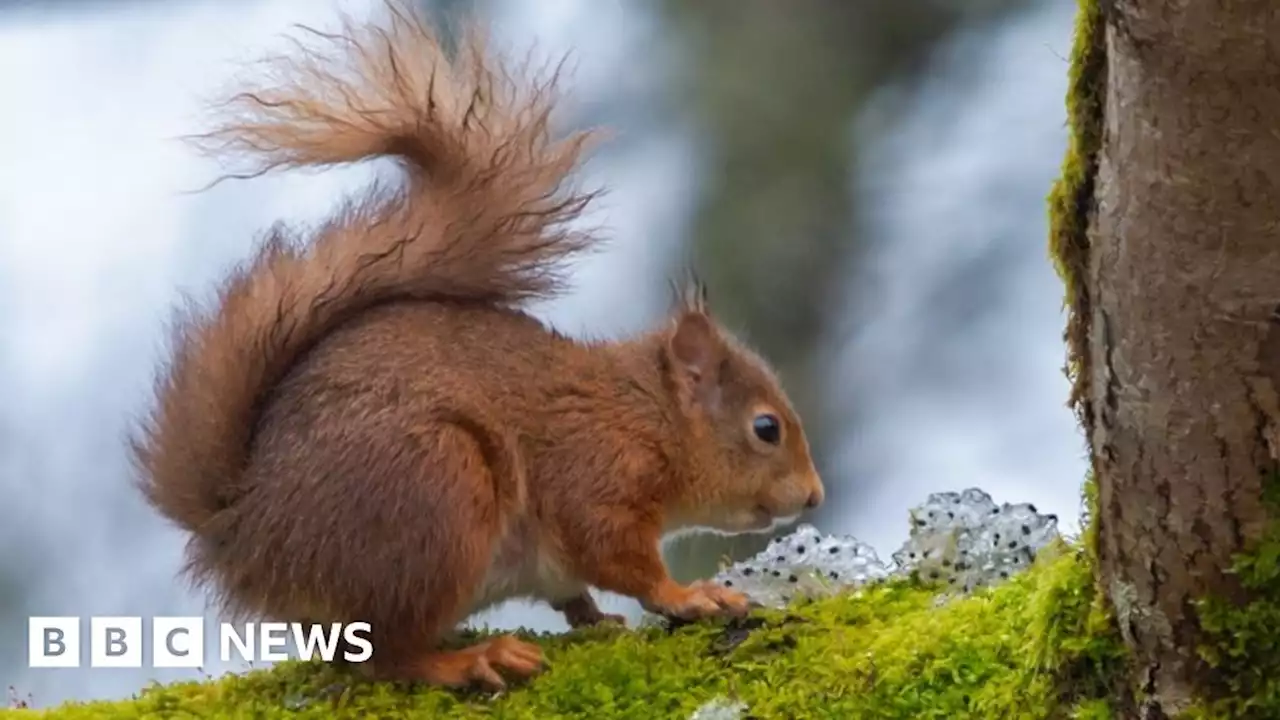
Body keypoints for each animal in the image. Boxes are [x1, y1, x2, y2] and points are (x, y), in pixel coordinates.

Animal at [129, 1, 824, 691]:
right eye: (766, 428)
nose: (815, 496)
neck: (645, 415)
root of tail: (245, 533)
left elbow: (572, 590)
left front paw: (598, 618)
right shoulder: (596, 476)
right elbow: (618, 558)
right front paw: (689, 595)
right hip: (436, 495)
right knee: (390, 653)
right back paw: (470, 660)